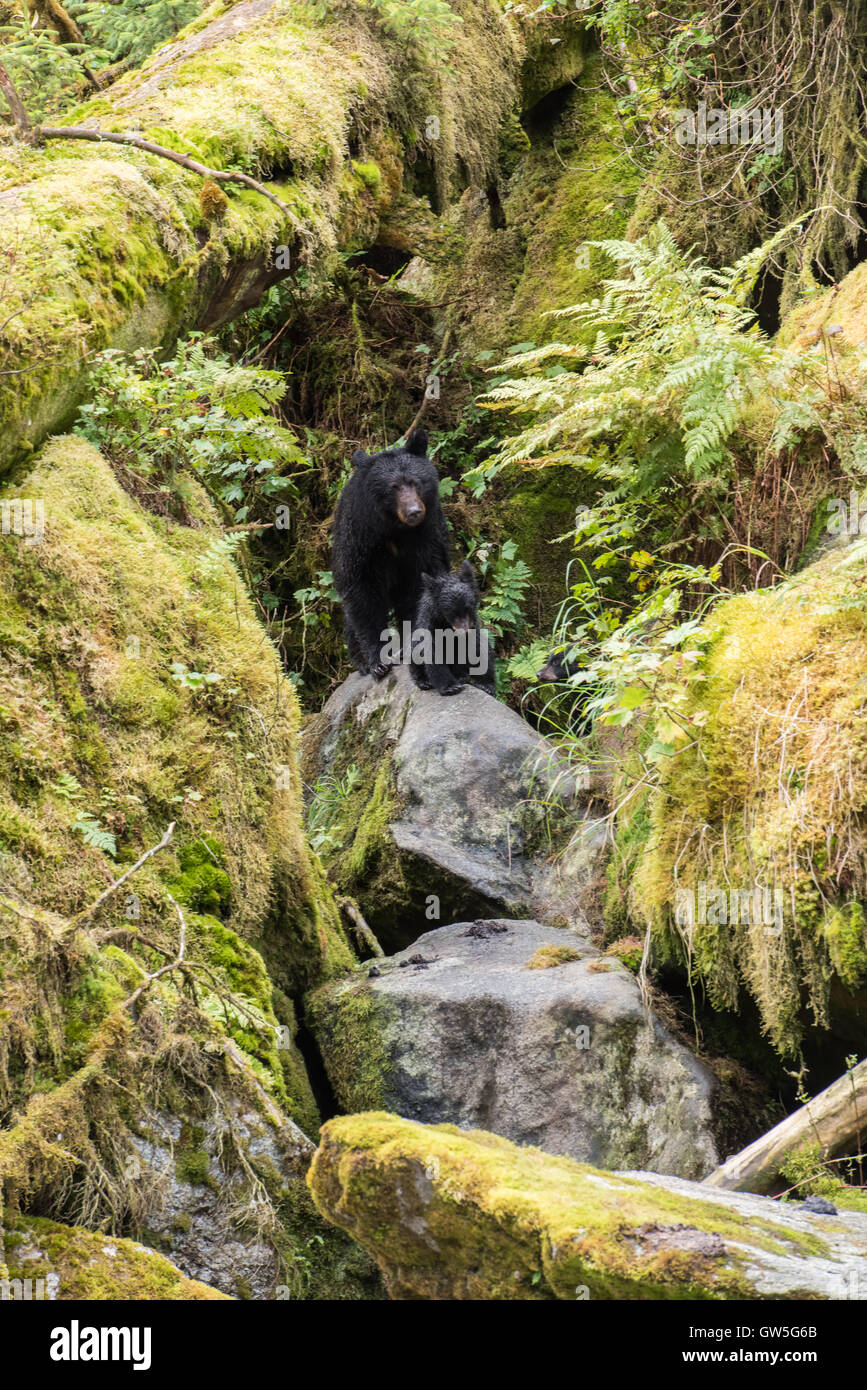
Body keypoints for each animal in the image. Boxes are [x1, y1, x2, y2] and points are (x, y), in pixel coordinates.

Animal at [332, 428, 450, 678]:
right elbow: (362, 597)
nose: (414, 512)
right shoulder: (361, 541)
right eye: (393, 487)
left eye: (415, 482)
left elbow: (422, 585)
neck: (395, 529)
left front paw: (413, 644)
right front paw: (377, 661)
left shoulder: (427, 536)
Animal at [408, 561, 494, 700]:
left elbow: (478, 648)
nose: (464, 631)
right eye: (451, 612)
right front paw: (450, 687)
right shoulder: (430, 626)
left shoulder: (473, 627)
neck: (446, 625)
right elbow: (433, 654)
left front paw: (486, 684)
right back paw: (423, 681)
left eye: (468, 608)